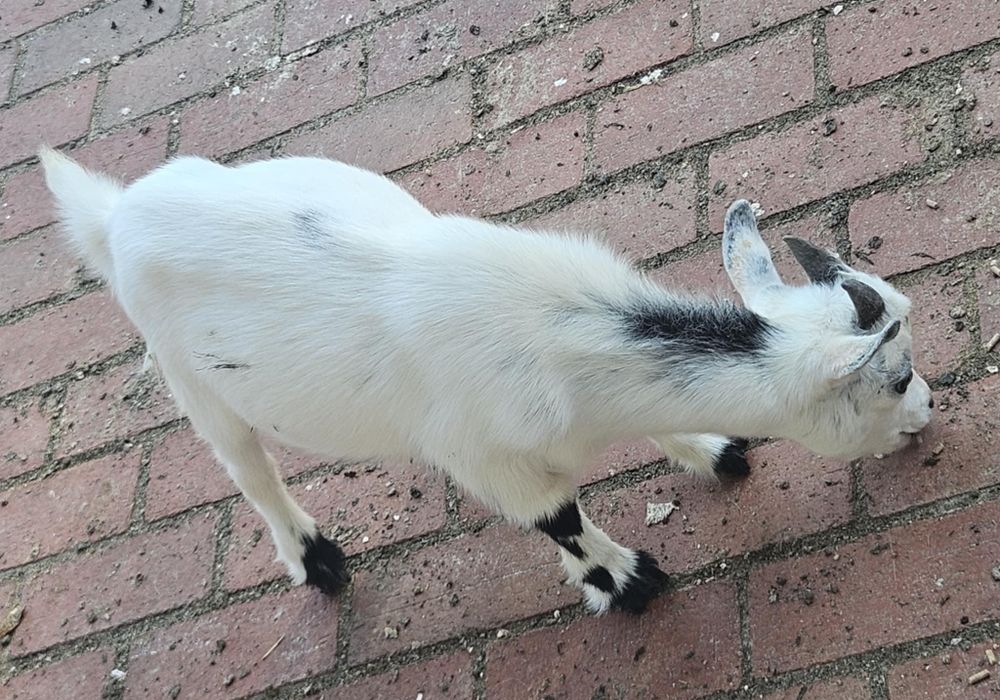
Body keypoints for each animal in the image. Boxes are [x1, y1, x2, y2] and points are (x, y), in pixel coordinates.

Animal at [40, 148, 933, 614]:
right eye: (895, 377)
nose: (931, 406)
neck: (571, 341)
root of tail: (114, 216)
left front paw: (713, 451)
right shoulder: (485, 459)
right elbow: (556, 518)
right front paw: (625, 580)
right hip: (187, 374)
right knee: (247, 468)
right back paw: (317, 559)